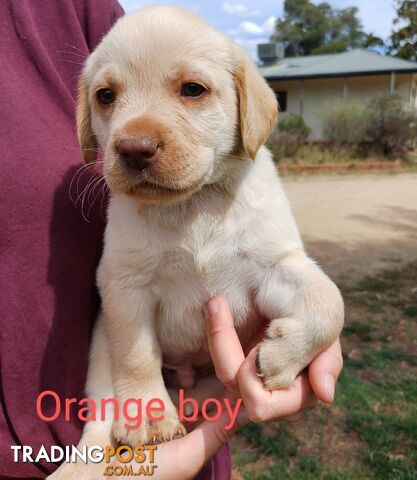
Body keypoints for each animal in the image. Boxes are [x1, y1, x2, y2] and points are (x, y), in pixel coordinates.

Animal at [59, 3, 344, 460]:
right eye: (105, 95)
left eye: (192, 89)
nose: (134, 149)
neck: (193, 206)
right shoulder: (125, 285)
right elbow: (136, 355)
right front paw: (149, 414)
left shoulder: (274, 264)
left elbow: (329, 301)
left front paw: (284, 355)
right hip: (100, 348)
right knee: (100, 414)